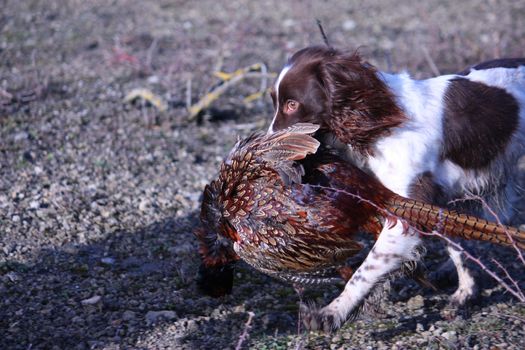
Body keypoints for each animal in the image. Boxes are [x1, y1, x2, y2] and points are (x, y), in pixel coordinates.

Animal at [268, 45, 520, 330]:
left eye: (292, 104)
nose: (267, 149)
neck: (384, 124)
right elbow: (456, 247)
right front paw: (466, 289)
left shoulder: (407, 214)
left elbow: (364, 271)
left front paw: (331, 313)